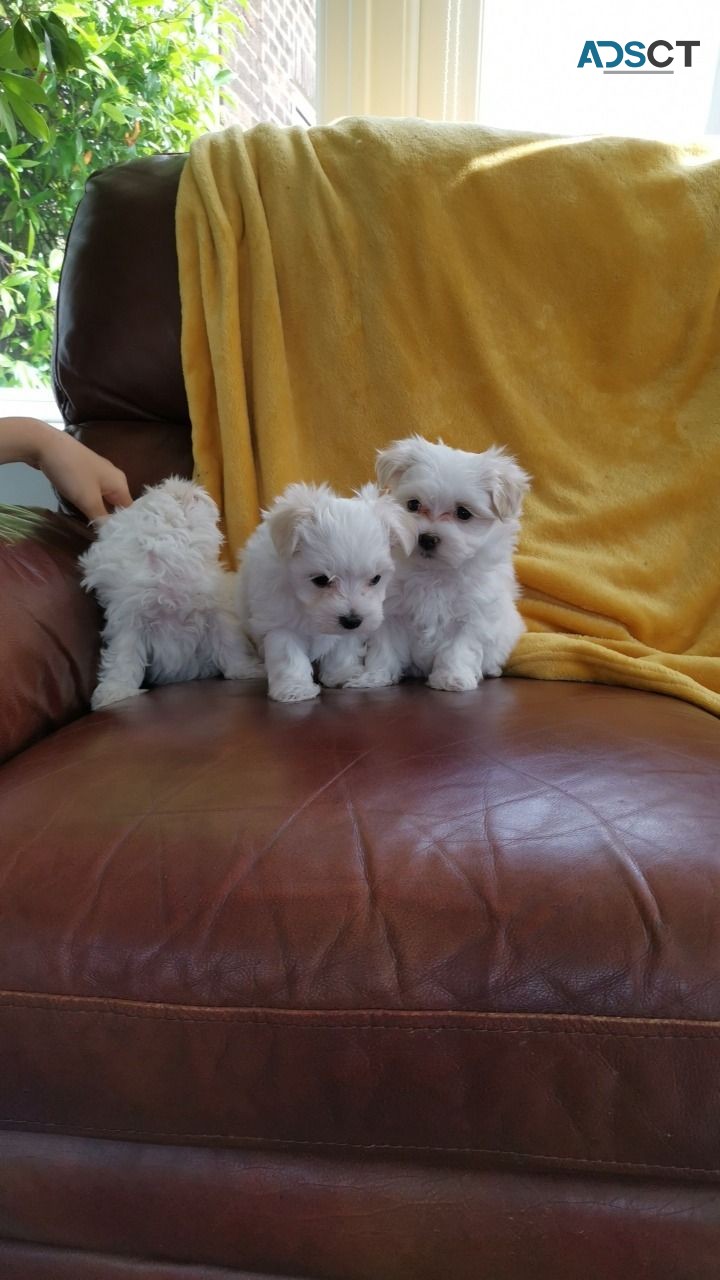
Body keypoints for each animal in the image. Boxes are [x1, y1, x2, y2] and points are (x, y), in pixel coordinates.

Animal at [79, 476, 258, 711]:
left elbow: (230, 641)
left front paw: (245, 670)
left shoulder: (216, 611)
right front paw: (116, 691)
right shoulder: (129, 621)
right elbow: (124, 655)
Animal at [238, 481, 412, 706]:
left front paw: (343, 673)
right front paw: (295, 689)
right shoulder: (279, 620)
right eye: (321, 580)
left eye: (375, 579)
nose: (352, 620)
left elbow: (343, 647)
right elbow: (288, 654)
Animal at [345, 442, 530, 701]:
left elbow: (460, 648)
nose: (427, 538)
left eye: (463, 513)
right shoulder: (390, 612)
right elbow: (384, 647)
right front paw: (374, 676)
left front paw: (452, 678)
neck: (434, 572)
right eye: (413, 505)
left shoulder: (473, 615)